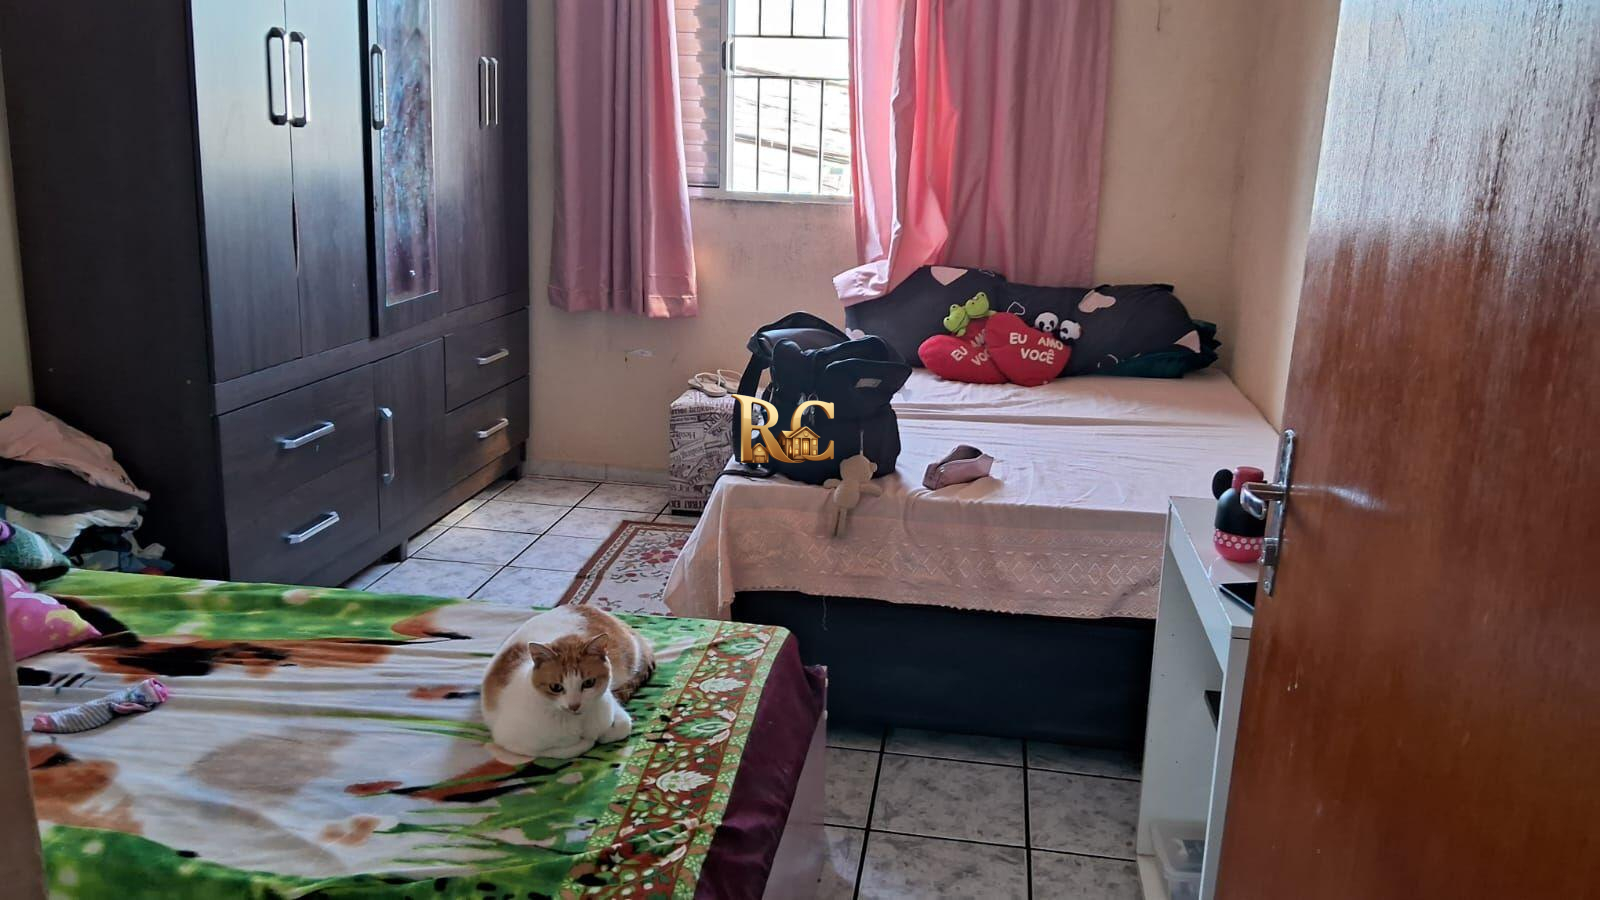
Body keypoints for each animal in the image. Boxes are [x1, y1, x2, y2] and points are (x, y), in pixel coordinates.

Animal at [481, 605, 655, 758]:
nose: (574, 705)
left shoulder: (611, 704)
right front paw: (588, 740)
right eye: (555, 687)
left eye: (588, 683)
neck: (577, 721)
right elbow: (568, 749)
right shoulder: (512, 743)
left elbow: (622, 726)